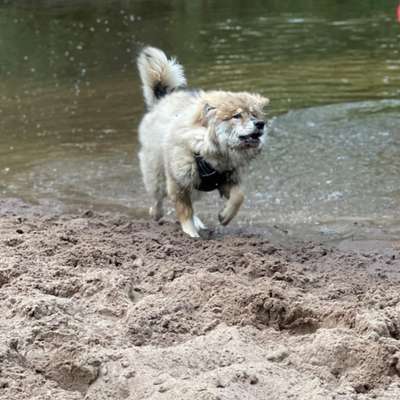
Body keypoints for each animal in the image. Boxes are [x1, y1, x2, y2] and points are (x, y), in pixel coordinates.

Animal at [137, 48, 268, 239]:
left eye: (254, 115)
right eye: (237, 116)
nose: (260, 124)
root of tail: (163, 100)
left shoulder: (226, 179)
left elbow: (239, 196)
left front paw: (224, 216)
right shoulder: (179, 182)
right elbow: (184, 210)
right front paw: (191, 233)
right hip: (156, 172)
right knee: (158, 196)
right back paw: (156, 213)